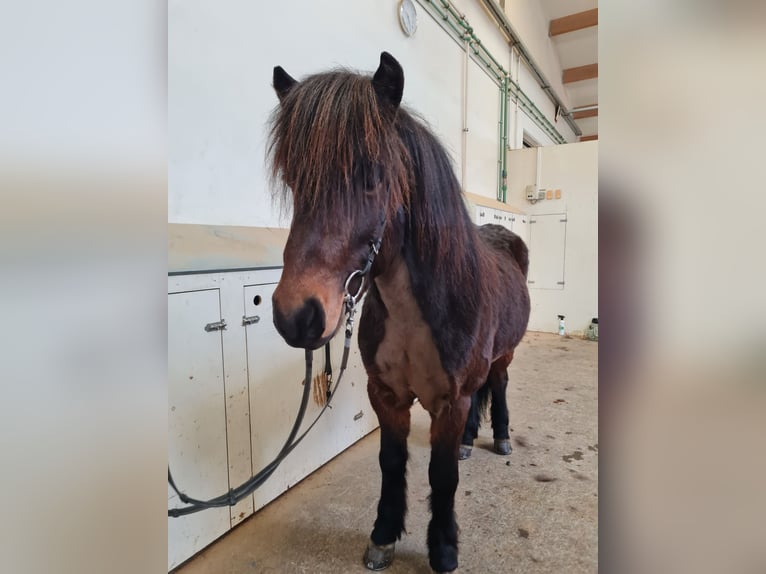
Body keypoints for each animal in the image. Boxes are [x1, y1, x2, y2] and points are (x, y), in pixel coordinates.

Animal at [268, 52, 530, 573]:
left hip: (503, 357)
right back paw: (472, 439)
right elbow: (392, 464)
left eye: (372, 176)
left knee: (499, 385)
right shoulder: (386, 395)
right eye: (292, 179)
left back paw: (501, 437)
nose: (296, 315)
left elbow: (442, 475)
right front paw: (384, 536)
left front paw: (443, 549)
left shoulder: (451, 401)